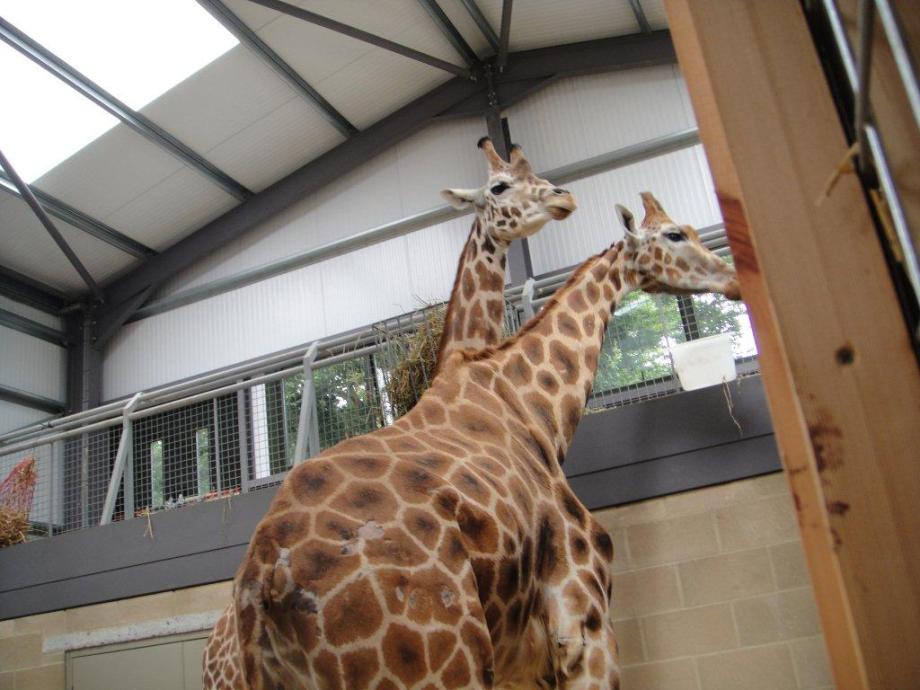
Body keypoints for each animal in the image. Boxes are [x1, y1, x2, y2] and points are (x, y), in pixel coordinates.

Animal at [215, 192, 739, 690]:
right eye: (674, 234)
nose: (733, 278)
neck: (534, 409)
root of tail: (261, 581)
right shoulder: (584, 624)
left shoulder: (524, 666)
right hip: (444, 664)